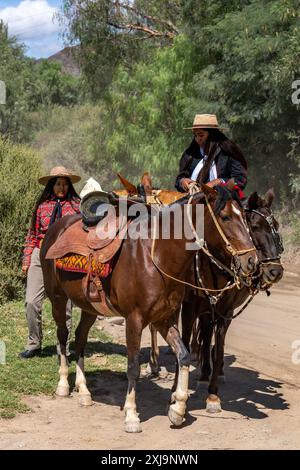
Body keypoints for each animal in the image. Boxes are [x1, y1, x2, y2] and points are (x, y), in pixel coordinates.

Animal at [38, 184, 256, 434]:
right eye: (225, 216)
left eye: (245, 217)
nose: (252, 260)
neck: (157, 256)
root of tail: (55, 229)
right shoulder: (134, 319)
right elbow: (132, 367)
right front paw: (132, 416)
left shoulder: (164, 318)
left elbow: (183, 355)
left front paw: (177, 409)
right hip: (57, 298)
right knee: (63, 336)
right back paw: (63, 384)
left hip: (89, 307)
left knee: (80, 337)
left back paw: (84, 392)